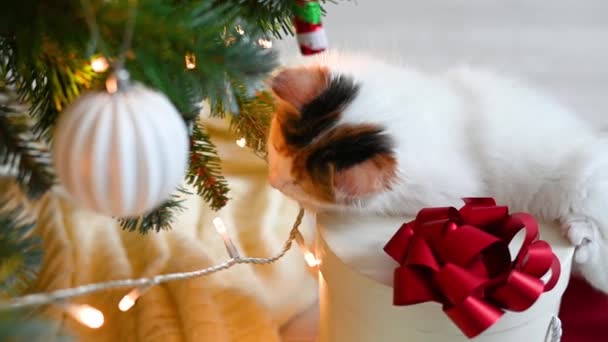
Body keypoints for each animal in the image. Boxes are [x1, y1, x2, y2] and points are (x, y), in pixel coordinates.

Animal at [268, 52, 608, 292]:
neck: (396, 115)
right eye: (278, 149)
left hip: (582, 187)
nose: (275, 183)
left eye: (298, 183)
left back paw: (581, 235)